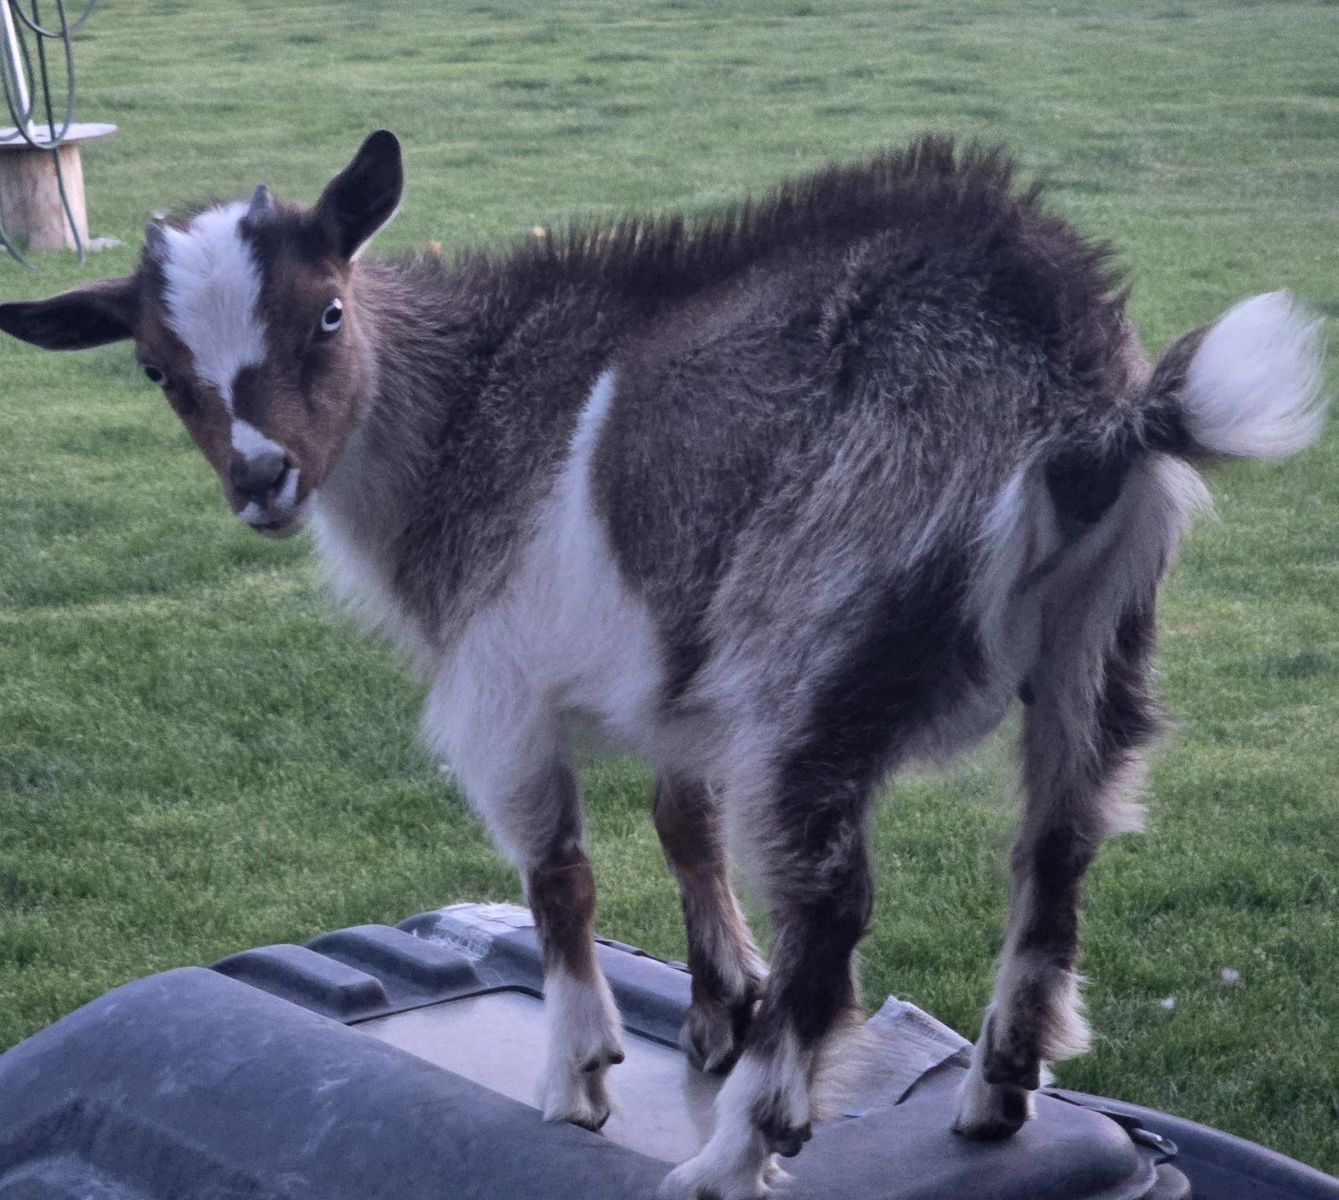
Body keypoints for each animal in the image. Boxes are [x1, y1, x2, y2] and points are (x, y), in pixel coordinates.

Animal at [0, 130, 1325, 1200]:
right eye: (156, 368)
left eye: (324, 312)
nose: (263, 482)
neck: (470, 413)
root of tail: (1081, 409)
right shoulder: (671, 666)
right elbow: (682, 823)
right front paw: (712, 1007)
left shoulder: (502, 687)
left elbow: (557, 876)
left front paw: (581, 1075)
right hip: (1097, 631)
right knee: (1056, 849)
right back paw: (992, 1094)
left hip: (810, 644)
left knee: (834, 905)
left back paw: (736, 1149)